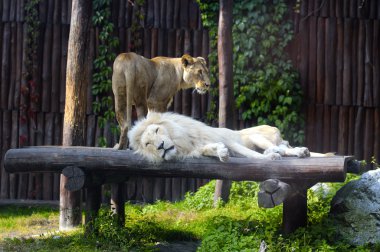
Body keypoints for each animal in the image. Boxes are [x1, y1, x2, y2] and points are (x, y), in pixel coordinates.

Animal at [127, 111, 312, 162]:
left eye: (157, 130)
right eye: (147, 144)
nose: (160, 146)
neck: (185, 143)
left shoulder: (229, 140)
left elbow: (251, 154)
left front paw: (269, 158)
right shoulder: (199, 148)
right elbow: (209, 150)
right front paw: (221, 153)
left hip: (256, 135)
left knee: (283, 148)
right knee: (283, 148)